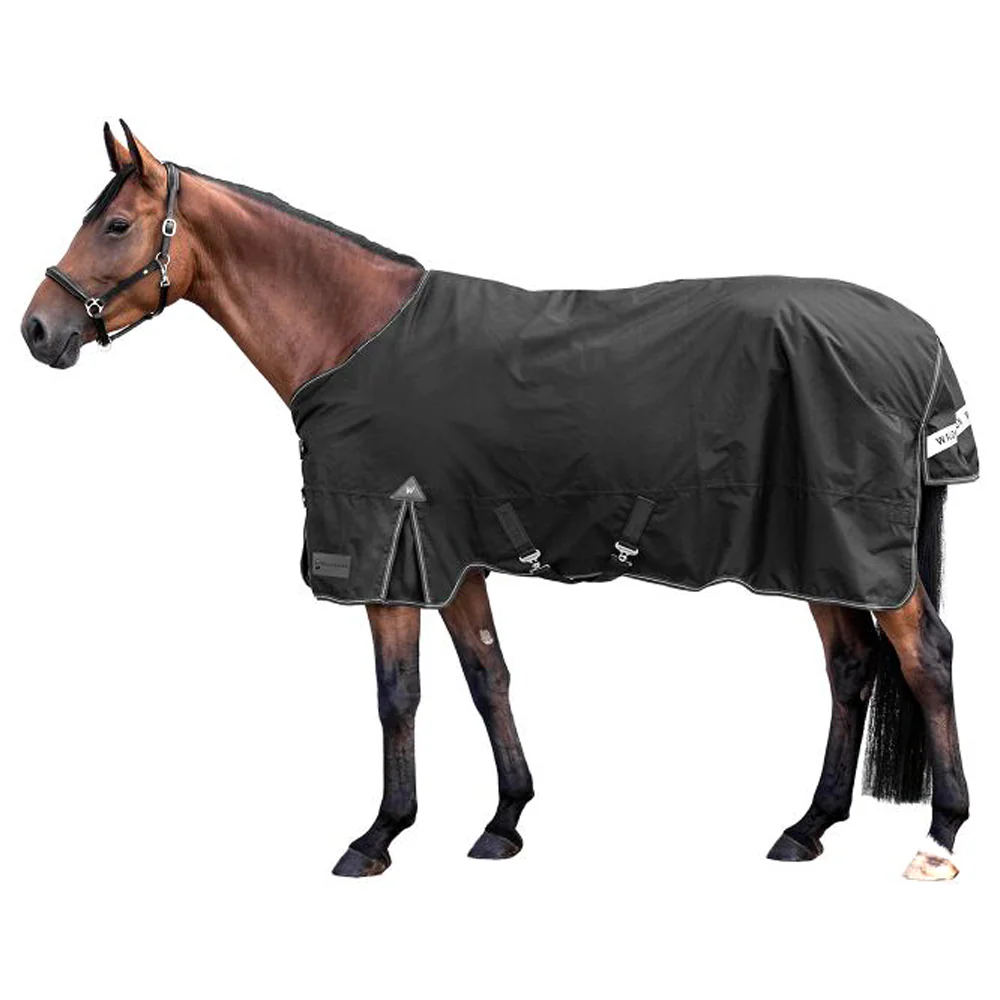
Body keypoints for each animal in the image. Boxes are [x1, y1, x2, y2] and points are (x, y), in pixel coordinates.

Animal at [21, 122, 976, 881]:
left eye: (114, 224)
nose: (37, 330)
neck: (351, 335)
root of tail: (918, 339)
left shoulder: (391, 557)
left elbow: (398, 695)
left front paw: (379, 837)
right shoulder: (454, 556)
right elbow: (488, 676)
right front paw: (505, 820)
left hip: (852, 548)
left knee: (923, 657)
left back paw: (939, 836)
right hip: (818, 550)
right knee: (851, 667)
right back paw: (808, 827)